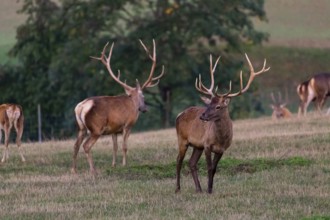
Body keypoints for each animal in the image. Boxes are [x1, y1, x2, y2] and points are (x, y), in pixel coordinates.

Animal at [72, 38, 165, 174]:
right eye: (143, 96)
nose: (144, 109)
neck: (133, 103)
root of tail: (81, 107)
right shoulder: (128, 125)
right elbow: (124, 146)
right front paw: (124, 165)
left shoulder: (114, 129)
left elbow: (114, 147)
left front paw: (113, 165)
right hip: (96, 128)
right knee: (86, 145)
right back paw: (93, 170)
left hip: (81, 128)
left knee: (75, 145)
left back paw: (74, 170)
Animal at [175, 54, 268, 193]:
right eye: (209, 104)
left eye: (218, 106)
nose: (202, 116)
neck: (220, 139)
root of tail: (179, 115)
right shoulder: (207, 145)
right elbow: (209, 167)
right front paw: (208, 190)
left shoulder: (222, 149)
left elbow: (214, 169)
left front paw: (210, 189)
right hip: (182, 139)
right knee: (178, 161)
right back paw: (178, 188)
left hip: (197, 146)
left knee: (191, 162)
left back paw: (198, 189)